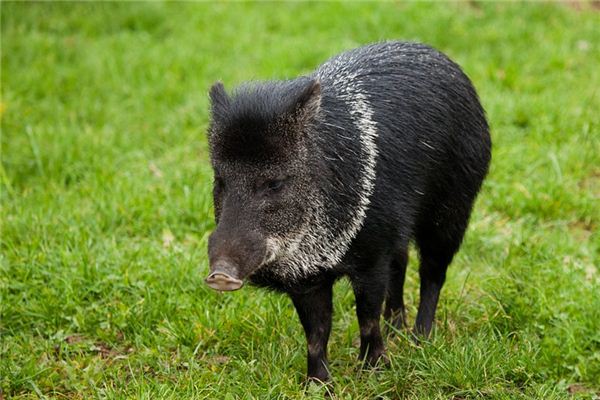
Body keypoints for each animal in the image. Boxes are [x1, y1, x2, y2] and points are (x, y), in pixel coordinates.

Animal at [204, 40, 490, 382]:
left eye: (274, 184)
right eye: (220, 180)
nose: (220, 275)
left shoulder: (371, 257)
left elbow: (366, 316)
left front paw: (374, 371)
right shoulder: (307, 278)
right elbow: (316, 333)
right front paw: (317, 384)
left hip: (452, 210)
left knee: (432, 273)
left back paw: (420, 340)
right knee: (402, 263)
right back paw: (397, 331)